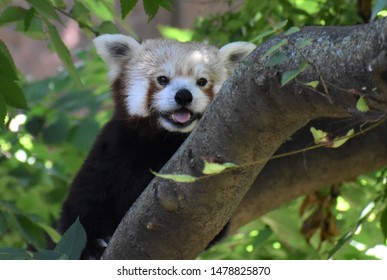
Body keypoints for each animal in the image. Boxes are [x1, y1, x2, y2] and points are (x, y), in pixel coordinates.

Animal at [57, 34, 256, 260]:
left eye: (202, 81)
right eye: (162, 79)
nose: (184, 95)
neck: (165, 139)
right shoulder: (112, 150)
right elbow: (82, 205)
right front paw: (92, 246)